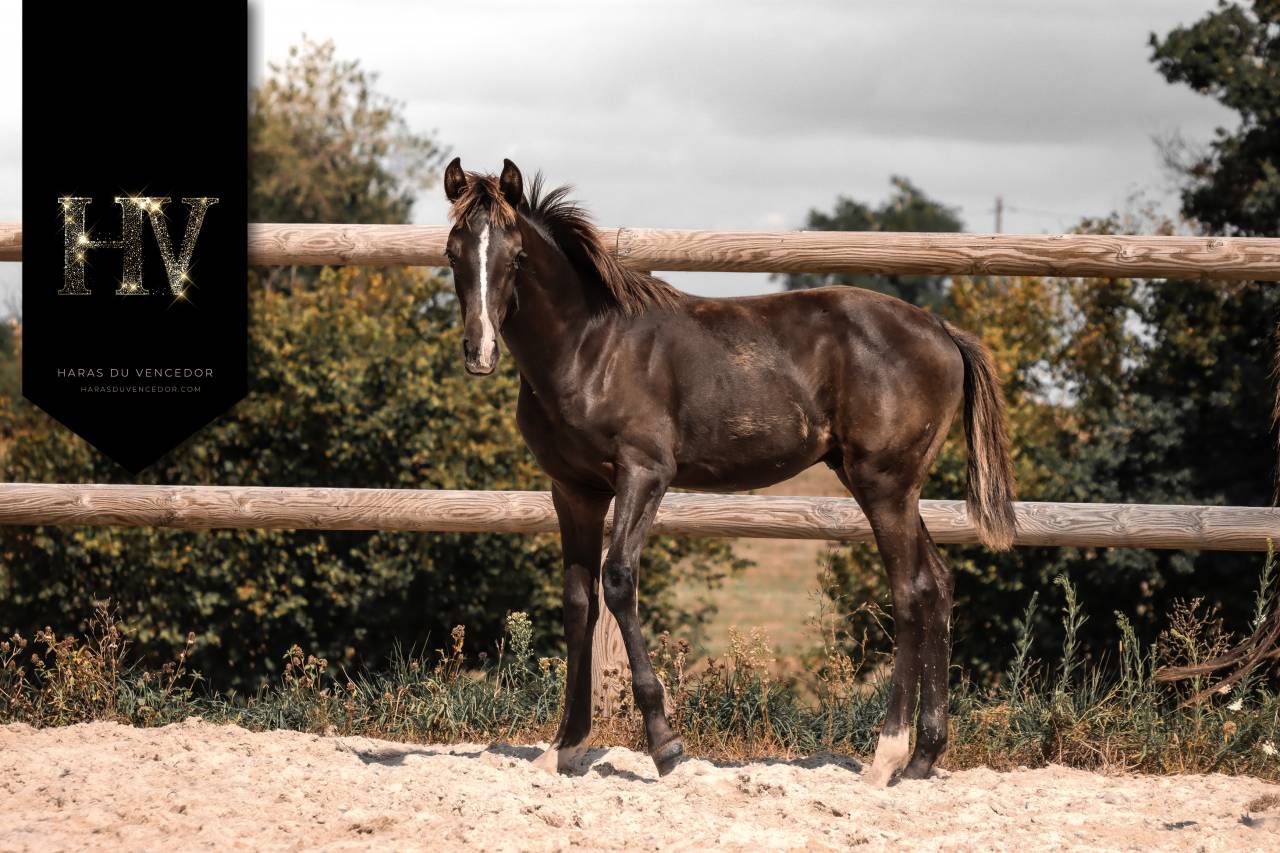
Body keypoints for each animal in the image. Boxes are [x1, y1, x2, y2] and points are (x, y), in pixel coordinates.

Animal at [439, 157, 1017, 784]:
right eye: (452, 251)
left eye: (517, 256)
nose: (479, 352)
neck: (591, 348)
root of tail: (942, 331)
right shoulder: (575, 491)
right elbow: (578, 603)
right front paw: (564, 747)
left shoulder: (644, 474)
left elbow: (618, 581)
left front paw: (666, 747)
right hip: (894, 487)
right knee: (936, 584)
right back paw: (922, 758)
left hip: (884, 484)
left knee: (909, 592)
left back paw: (885, 756)